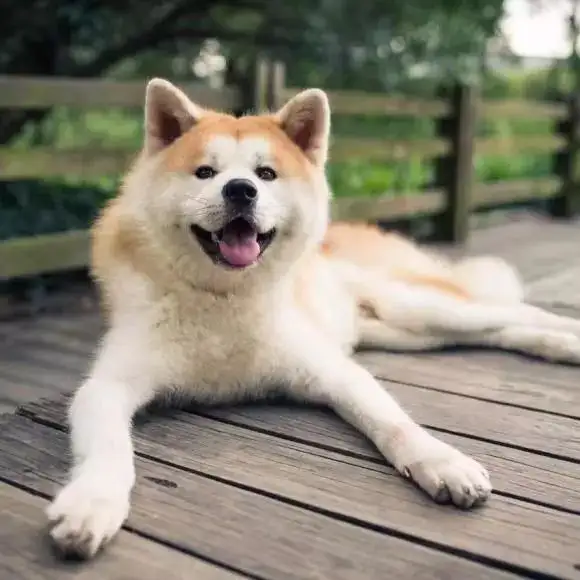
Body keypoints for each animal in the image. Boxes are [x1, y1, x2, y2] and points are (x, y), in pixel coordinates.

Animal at [46, 76, 580, 556]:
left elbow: (395, 424)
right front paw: (91, 504)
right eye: (204, 173)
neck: (226, 302)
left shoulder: (333, 371)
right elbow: (110, 451)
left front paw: (442, 462)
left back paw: (567, 337)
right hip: (407, 332)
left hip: (420, 307)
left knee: (512, 311)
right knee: (502, 328)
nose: (239, 191)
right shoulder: (107, 387)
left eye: (265, 174)